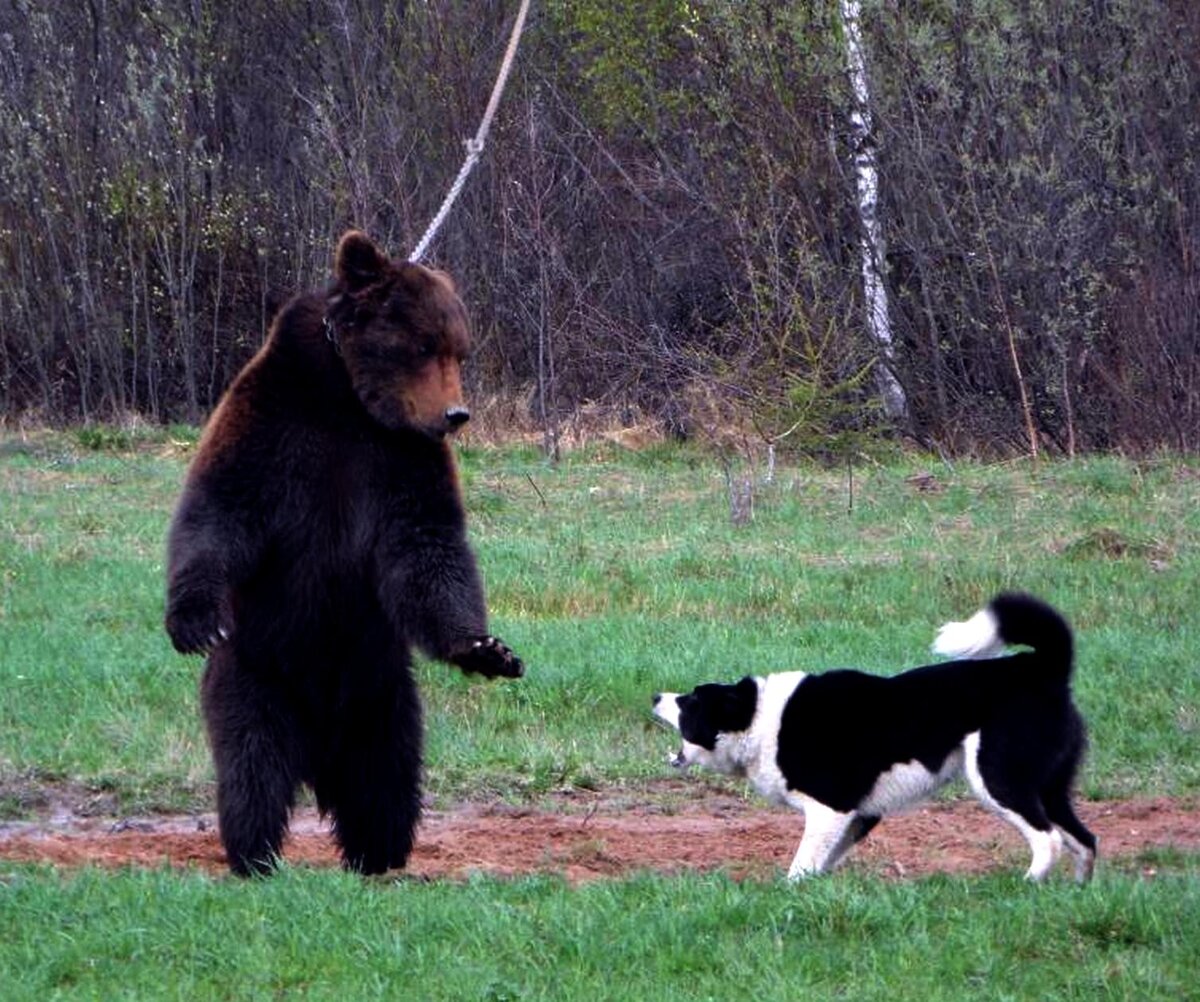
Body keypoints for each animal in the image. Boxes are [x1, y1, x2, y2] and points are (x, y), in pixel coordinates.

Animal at [164, 231, 520, 873]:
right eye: (424, 344)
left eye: (460, 351)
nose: (455, 415)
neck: (348, 400)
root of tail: (317, 756)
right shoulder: (274, 423)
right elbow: (219, 510)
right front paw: (195, 620)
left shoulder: (402, 460)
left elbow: (428, 550)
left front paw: (487, 649)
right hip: (259, 672)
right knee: (253, 769)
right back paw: (255, 857)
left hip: (381, 694)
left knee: (386, 782)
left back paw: (378, 856)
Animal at [657, 592, 1099, 883]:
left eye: (691, 701)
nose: (655, 696)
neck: (762, 718)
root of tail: (1041, 668)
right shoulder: (859, 814)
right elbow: (820, 866)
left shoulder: (830, 809)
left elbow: (801, 866)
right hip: (1049, 789)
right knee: (1086, 841)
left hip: (998, 779)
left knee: (1048, 839)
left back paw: (1026, 885)